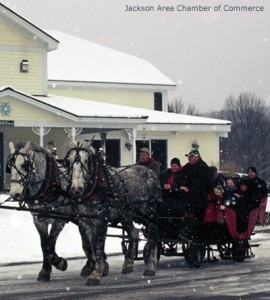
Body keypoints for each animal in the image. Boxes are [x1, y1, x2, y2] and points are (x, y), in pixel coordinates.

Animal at [7, 142, 107, 282]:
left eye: (24, 165)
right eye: (10, 166)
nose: (14, 193)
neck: (49, 185)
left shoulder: (59, 220)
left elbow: (50, 243)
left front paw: (60, 263)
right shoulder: (38, 220)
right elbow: (44, 245)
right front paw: (45, 271)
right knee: (87, 241)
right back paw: (91, 265)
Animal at [65, 141, 161, 286]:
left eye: (86, 160)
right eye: (69, 160)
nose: (76, 189)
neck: (96, 188)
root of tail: (151, 173)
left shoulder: (102, 220)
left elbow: (98, 248)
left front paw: (96, 275)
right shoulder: (85, 221)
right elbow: (90, 247)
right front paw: (99, 269)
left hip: (149, 214)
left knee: (153, 236)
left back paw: (150, 266)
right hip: (126, 215)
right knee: (134, 233)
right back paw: (128, 264)